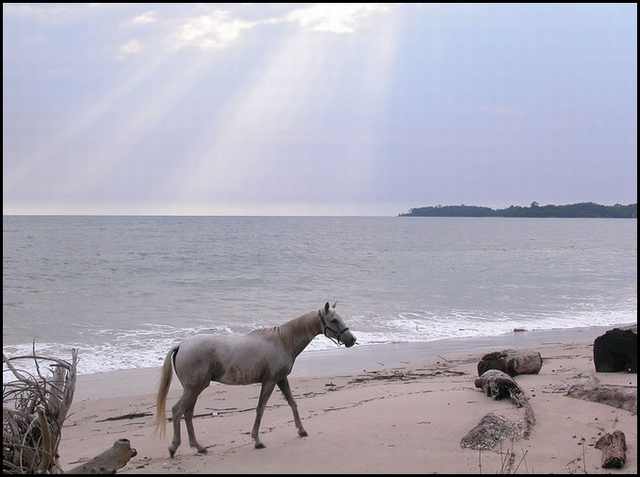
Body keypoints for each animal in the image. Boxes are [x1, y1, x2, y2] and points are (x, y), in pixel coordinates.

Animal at [155, 304, 356, 456]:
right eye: (334, 320)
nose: (352, 339)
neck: (282, 341)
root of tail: (181, 345)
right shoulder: (270, 381)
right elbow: (260, 409)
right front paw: (257, 441)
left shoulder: (281, 379)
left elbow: (292, 403)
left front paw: (301, 430)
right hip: (193, 388)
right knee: (178, 411)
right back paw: (174, 447)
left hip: (194, 389)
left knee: (187, 414)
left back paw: (199, 447)